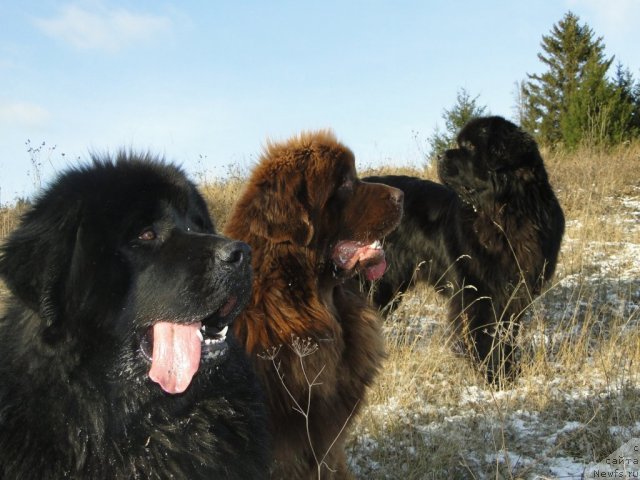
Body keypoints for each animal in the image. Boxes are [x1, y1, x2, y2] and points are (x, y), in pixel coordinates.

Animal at [368, 115, 564, 382]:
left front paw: (509, 369)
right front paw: (493, 375)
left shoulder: (516, 290)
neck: (506, 213)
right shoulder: (478, 291)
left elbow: (506, 332)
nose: (439, 155)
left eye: (470, 146)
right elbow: (482, 334)